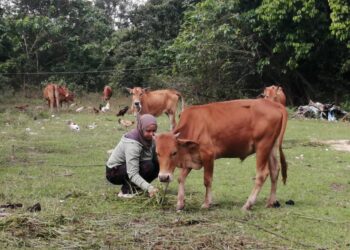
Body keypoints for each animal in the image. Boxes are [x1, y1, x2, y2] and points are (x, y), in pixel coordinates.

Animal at [155, 98, 288, 211]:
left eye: (174, 152)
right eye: (157, 153)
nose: (163, 177)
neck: (193, 125)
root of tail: (274, 104)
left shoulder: (208, 155)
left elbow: (207, 180)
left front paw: (207, 203)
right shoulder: (191, 158)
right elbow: (181, 178)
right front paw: (180, 203)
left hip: (262, 146)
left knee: (262, 174)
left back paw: (248, 204)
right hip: (271, 147)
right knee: (274, 171)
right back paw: (271, 202)